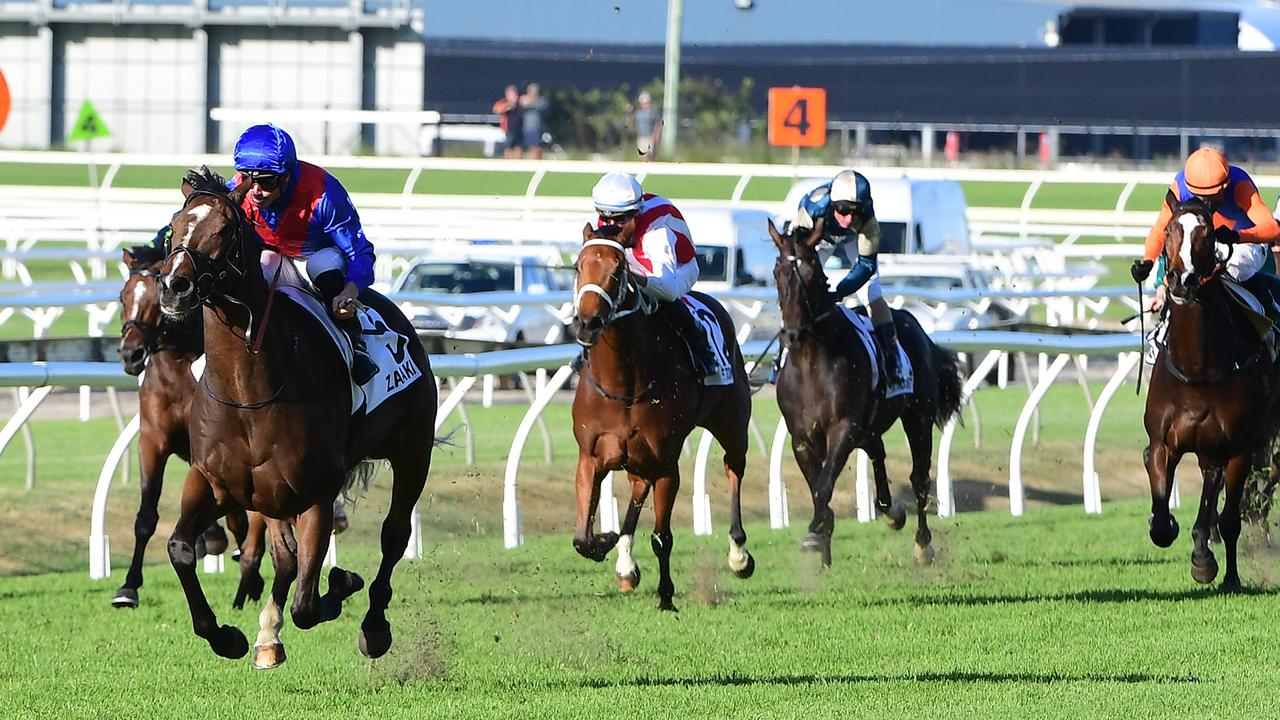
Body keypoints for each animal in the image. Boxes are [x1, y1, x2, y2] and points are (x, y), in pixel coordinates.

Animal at [115, 244, 262, 604]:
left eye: (155, 299)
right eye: (123, 296)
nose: (130, 355)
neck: (177, 371)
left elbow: (238, 517)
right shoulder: (153, 441)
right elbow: (146, 516)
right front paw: (128, 586)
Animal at [152, 165, 435, 666]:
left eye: (224, 230)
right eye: (174, 226)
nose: (174, 286)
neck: (248, 392)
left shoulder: (318, 491)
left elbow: (308, 601)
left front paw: (342, 584)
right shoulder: (213, 481)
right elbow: (180, 548)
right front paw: (227, 636)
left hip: (413, 451)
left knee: (394, 534)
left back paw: (373, 625)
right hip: (270, 496)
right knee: (284, 558)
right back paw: (268, 634)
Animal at [568, 221, 747, 607]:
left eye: (618, 269)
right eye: (578, 266)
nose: (588, 322)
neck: (624, 384)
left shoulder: (666, 464)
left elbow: (662, 537)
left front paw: (666, 597)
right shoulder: (591, 457)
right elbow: (582, 539)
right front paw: (607, 541)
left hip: (731, 424)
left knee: (734, 467)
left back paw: (739, 554)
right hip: (635, 458)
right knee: (637, 488)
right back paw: (625, 564)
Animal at [768, 219, 962, 566]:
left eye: (810, 271)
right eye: (778, 271)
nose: (791, 333)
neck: (811, 360)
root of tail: (916, 326)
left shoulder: (843, 428)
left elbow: (823, 485)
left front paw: (815, 533)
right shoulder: (801, 437)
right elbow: (817, 485)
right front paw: (823, 542)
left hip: (917, 418)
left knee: (919, 476)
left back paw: (922, 545)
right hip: (870, 426)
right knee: (878, 452)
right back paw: (890, 511)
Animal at [1141, 192, 1280, 589]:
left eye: (1208, 234)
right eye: (1169, 231)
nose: (1181, 280)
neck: (1197, 372)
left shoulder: (1234, 449)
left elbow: (1226, 515)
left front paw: (1212, 566)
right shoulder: (1164, 442)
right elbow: (1161, 522)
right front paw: (1168, 523)